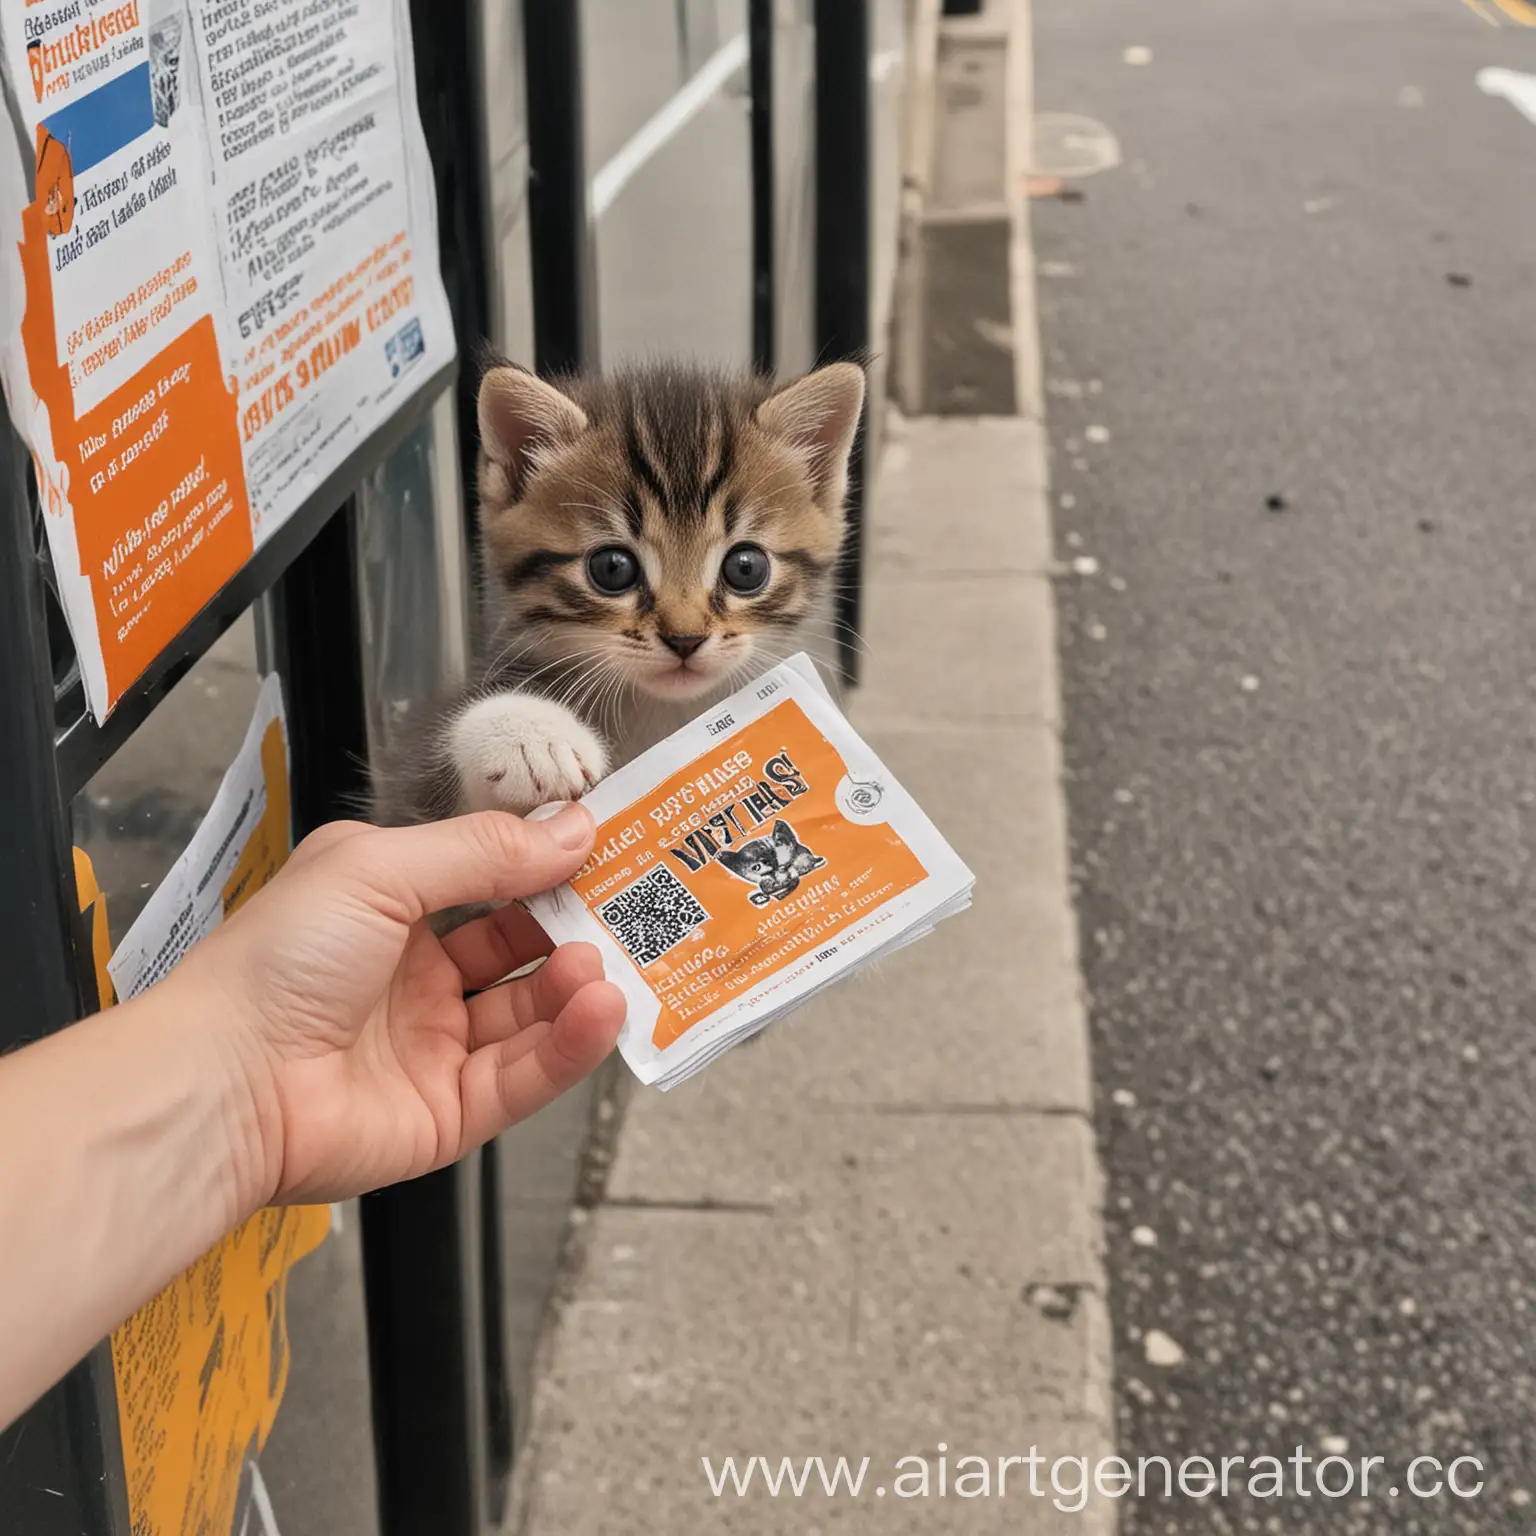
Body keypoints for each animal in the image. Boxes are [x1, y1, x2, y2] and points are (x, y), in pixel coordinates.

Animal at [364, 356, 860, 829]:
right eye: (612, 568)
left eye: (746, 567)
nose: (685, 639)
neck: (661, 715)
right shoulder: (408, 802)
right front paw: (529, 734)